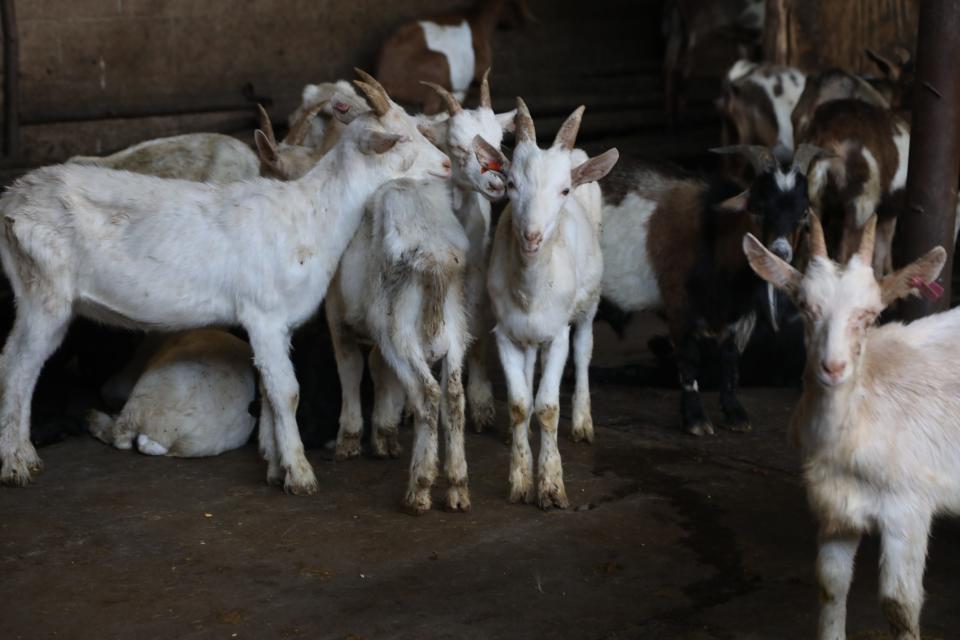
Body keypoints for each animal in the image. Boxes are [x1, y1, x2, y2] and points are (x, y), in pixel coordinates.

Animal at [492, 99, 620, 510]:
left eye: (564, 190)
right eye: (511, 185)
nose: (532, 236)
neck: (531, 290)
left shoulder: (558, 333)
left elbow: (548, 407)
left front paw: (550, 485)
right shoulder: (505, 333)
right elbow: (520, 405)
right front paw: (520, 480)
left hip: (587, 304)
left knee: (583, 349)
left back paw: (582, 421)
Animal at [744, 215, 952, 640]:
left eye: (870, 315)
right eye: (804, 307)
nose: (833, 367)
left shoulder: (909, 507)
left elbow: (899, 605)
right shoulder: (836, 508)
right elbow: (831, 585)